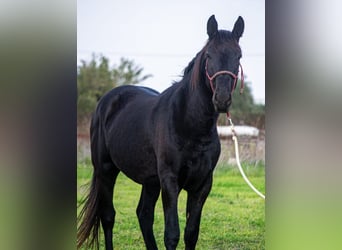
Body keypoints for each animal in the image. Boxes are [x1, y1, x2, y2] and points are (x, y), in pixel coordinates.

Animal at [77, 15, 243, 250]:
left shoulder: (202, 185)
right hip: (105, 170)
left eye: (238, 56)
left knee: (143, 215)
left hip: (150, 181)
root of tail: (107, 101)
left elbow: (191, 233)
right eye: (209, 55)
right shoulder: (169, 181)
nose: (221, 99)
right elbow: (172, 234)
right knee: (108, 216)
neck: (190, 125)